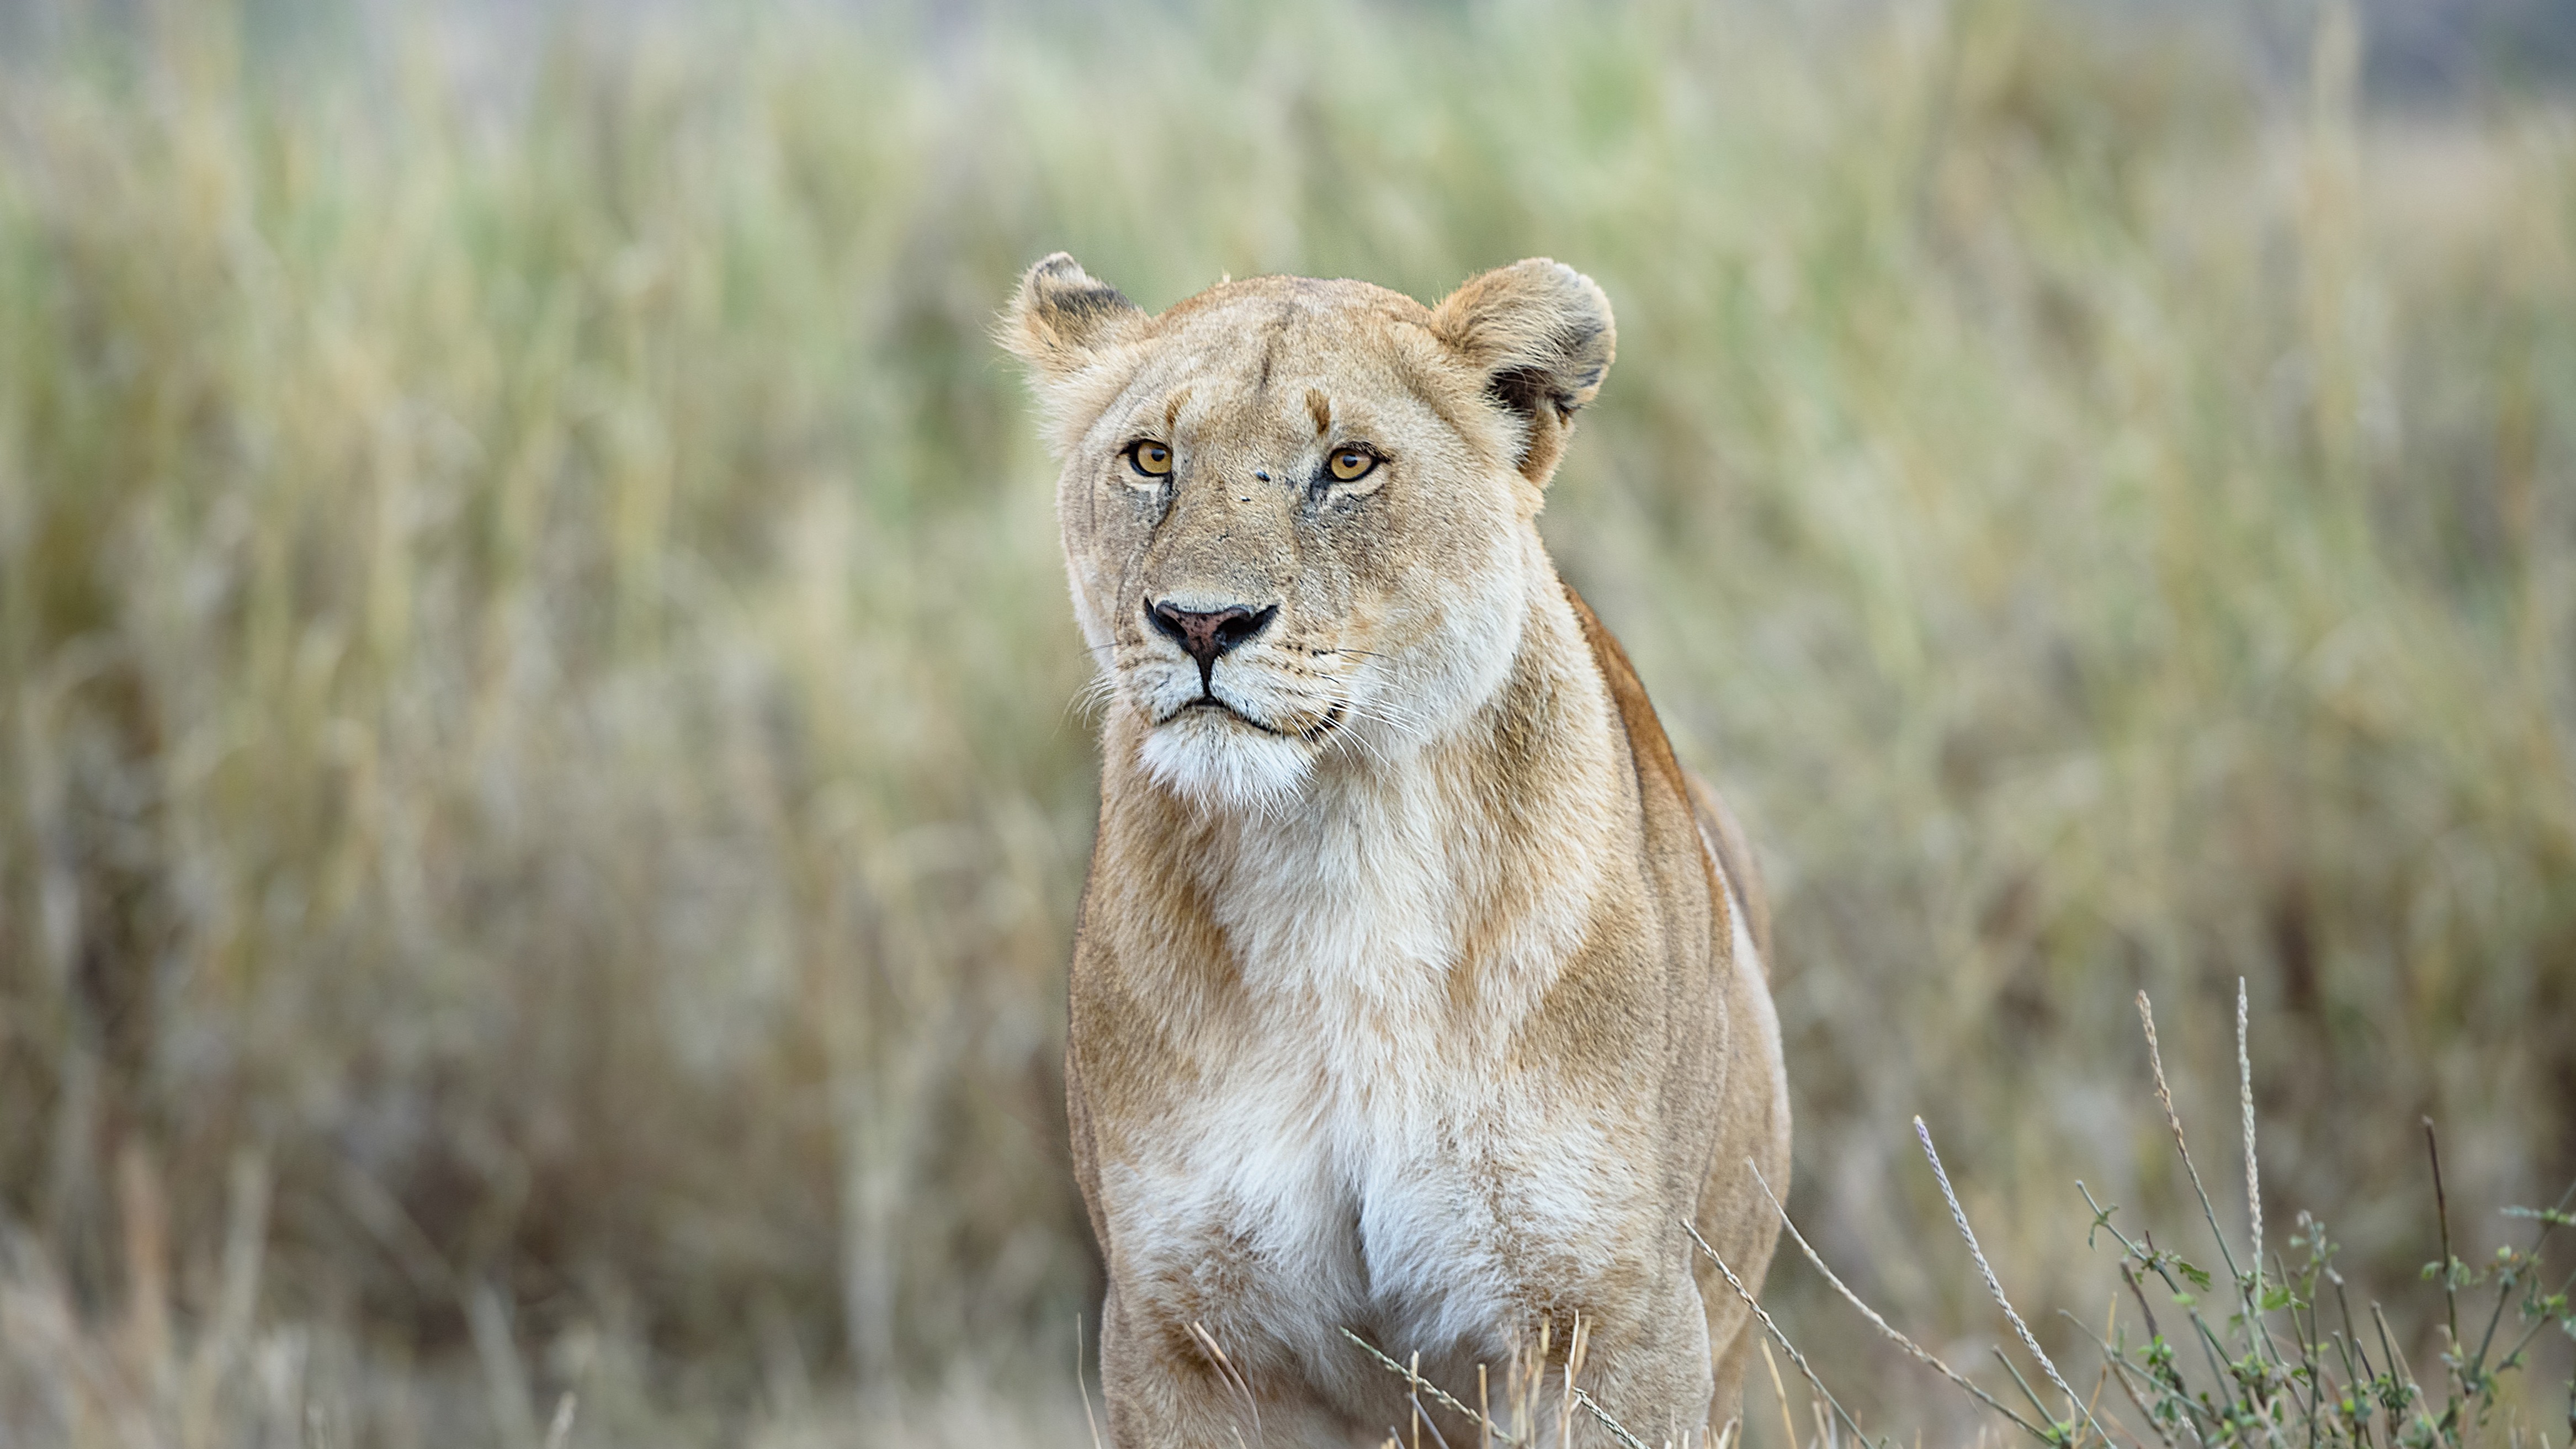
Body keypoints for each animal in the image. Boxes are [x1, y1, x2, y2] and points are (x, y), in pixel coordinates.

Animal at [1005, 253, 1790, 1448]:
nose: (1199, 624)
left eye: (1348, 464)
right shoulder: (1180, 1333)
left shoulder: (1616, 1323)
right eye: (1151, 458)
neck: (1335, 844)